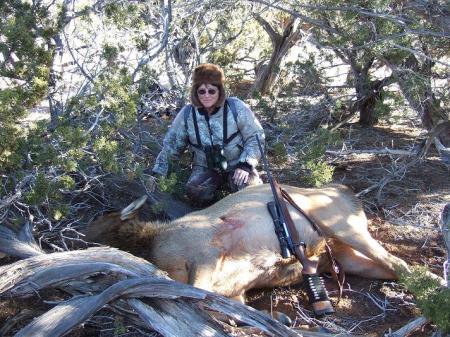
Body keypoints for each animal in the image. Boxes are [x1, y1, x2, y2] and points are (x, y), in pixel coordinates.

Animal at [86, 184, 414, 308]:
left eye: (97, 224)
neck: (152, 244)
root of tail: (350, 193)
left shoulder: (205, 253)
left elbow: (199, 293)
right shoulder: (235, 290)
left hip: (342, 226)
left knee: (401, 263)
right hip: (346, 258)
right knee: (395, 268)